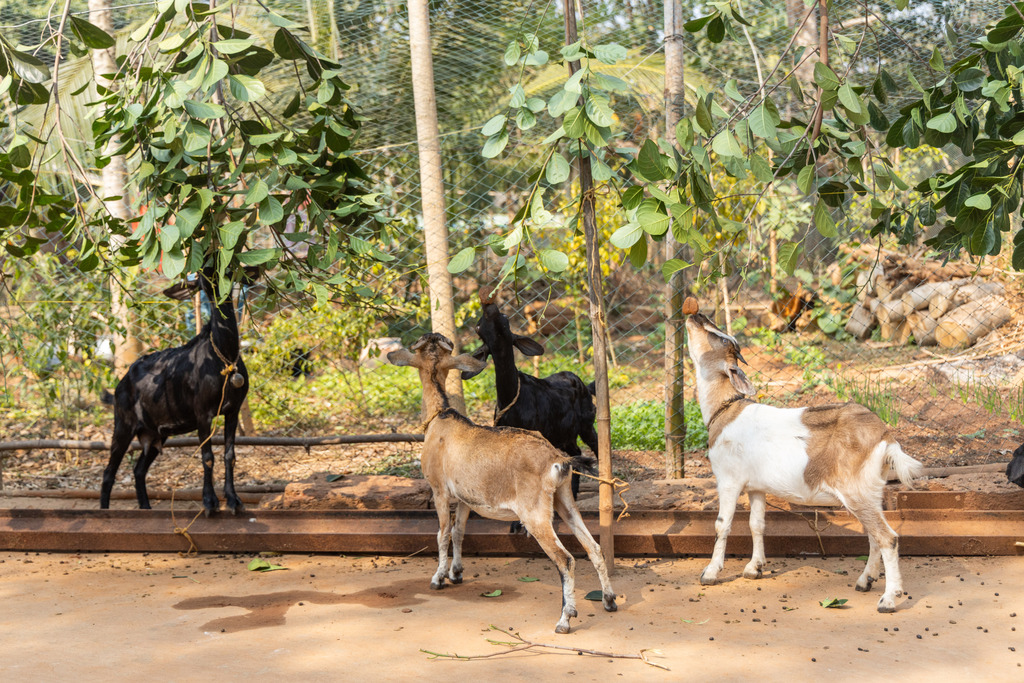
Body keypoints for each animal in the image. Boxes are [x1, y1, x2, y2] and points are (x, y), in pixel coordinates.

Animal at [100, 266, 249, 516]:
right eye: (202, 280)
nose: (217, 287)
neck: (224, 359)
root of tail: (120, 386)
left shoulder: (232, 410)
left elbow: (230, 455)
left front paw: (233, 500)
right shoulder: (202, 413)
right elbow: (207, 457)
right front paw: (209, 503)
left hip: (155, 433)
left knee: (139, 470)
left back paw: (146, 508)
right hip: (123, 424)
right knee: (109, 473)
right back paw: (104, 512)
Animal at [388, 333, 616, 633]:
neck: (441, 418)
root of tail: (558, 459)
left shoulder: (439, 490)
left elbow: (443, 533)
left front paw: (438, 578)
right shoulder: (465, 497)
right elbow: (459, 531)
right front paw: (456, 573)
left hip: (535, 513)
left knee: (565, 559)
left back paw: (565, 619)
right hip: (564, 499)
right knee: (594, 547)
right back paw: (609, 600)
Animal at [462, 295, 599, 507]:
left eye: (505, 318)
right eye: (479, 327)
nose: (490, 307)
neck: (509, 398)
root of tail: (582, 382)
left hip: (586, 423)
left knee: (596, 445)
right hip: (563, 434)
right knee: (575, 452)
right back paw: (574, 494)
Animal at [685, 311, 922, 613]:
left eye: (720, 338)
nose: (696, 314)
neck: (726, 411)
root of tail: (885, 436)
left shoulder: (728, 480)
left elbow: (722, 524)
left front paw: (711, 573)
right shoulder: (756, 487)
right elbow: (756, 524)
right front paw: (754, 568)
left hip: (855, 490)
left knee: (887, 537)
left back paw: (889, 599)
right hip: (870, 490)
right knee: (873, 535)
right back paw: (865, 580)